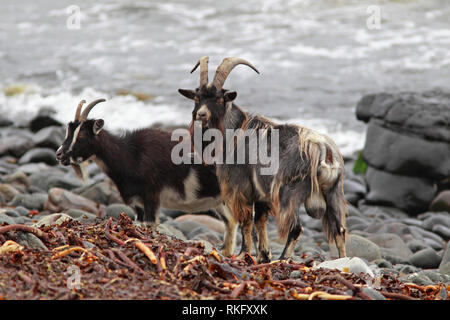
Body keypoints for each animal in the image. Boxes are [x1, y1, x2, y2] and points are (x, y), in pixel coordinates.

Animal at [55, 99, 243, 256]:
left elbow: (151, 226)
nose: (59, 154)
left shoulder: (152, 197)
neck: (130, 154)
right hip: (219, 200)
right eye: (68, 131)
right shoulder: (137, 202)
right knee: (231, 222)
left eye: (81, 135)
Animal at [179, 57, 348, 262]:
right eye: (197, 98)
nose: (201, 115)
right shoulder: (260, 194)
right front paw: (263, 255)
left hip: (290, 194)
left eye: (219, 99)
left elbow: (246, 221)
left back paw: (282, 259)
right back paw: (344, 260)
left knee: (296, 228)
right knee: (339, 230)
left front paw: (244, 253)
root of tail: (324, 151)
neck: (235, 133)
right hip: (333, 193)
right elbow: (260, 221)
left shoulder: (241, 188)